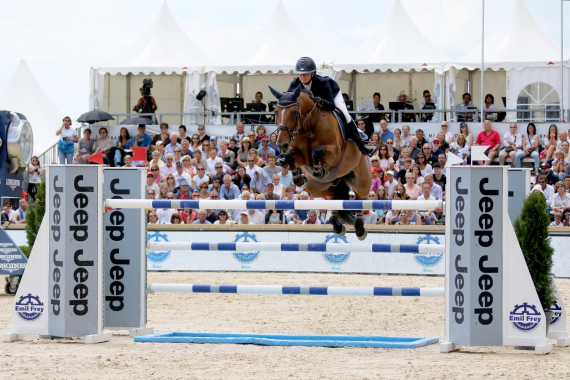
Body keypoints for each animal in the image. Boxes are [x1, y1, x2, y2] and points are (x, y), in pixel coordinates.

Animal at [268, 85, 370, 240]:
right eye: (276, 112)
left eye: (294, 113)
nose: (281, 145)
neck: (309, 125)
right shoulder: (301, 156)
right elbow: (291, 155)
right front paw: (299, 178)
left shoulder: (335, 152)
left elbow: (317, 151)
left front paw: (318, 170)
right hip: (317, 187)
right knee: (335, 195)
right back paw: (337, 224)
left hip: (362, 180)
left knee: (360, 198)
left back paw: (359, 228)